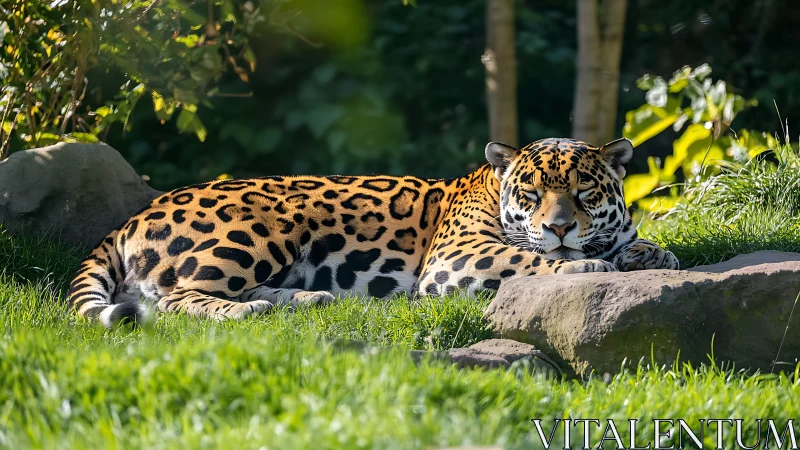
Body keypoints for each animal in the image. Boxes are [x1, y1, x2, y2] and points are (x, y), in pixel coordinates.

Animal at [67, 137, 679, 328]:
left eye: (584, 192)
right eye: (530, 195)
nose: (559, 227)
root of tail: (131, 217)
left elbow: (636, 243)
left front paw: (653, 255)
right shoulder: (457, 256)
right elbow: (527, 258)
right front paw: (583, 262)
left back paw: (305, 300)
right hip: (261, 229)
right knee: (174, 297)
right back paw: (248, 311)